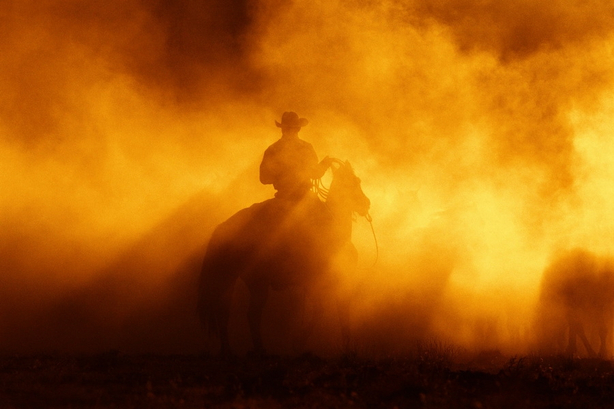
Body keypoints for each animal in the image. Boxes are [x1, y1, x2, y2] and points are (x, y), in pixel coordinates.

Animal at [197, 158, 370, 356]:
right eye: (353, 182)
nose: (366, 204)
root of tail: (224, 226)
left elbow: (339, 313)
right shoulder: (318, 283)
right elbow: (324, 311)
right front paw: (299, 342)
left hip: (231, 278)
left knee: (224, 311)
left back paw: (228, 350)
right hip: (257, 281)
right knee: (251, 314)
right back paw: (259, 350)